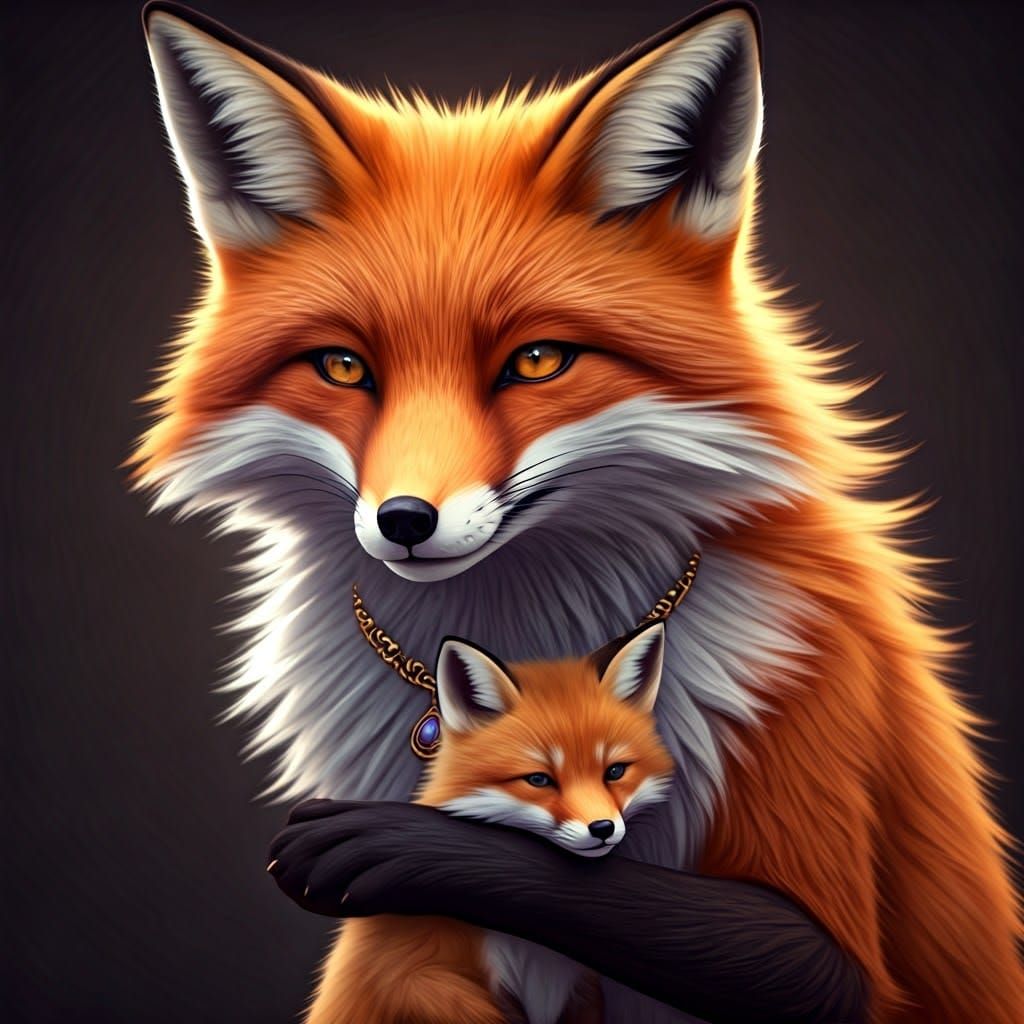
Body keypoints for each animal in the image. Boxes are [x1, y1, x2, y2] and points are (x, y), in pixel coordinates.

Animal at [308, 622, 673, 1024]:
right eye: (539, 779)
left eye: (615, 771)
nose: (603, 829)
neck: (531, 953)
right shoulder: (410, 973)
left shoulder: (581, 992)